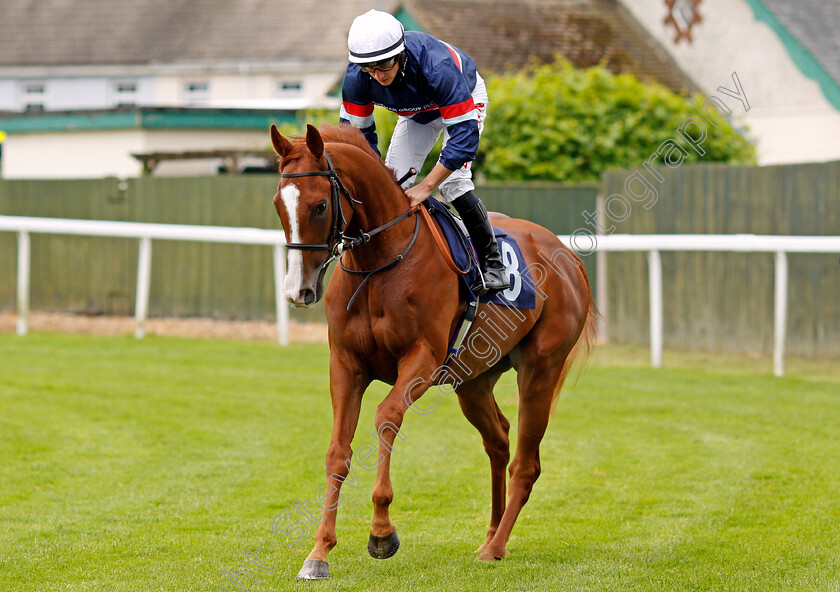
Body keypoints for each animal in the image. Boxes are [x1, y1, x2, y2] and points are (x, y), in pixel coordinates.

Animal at [272, 122, 592, 580]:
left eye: (318, 206)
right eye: (279, 205)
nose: (299, 291)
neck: (381, 260)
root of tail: (567, 255)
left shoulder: (421, 360)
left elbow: (386, 417)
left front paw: (381, 532)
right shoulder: (346, 365)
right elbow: (337, 451)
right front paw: (319, 552)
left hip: (540, 371)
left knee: (526, 463)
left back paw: (496, 548)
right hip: (473, 381)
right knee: (499, 440)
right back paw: (490, 536)